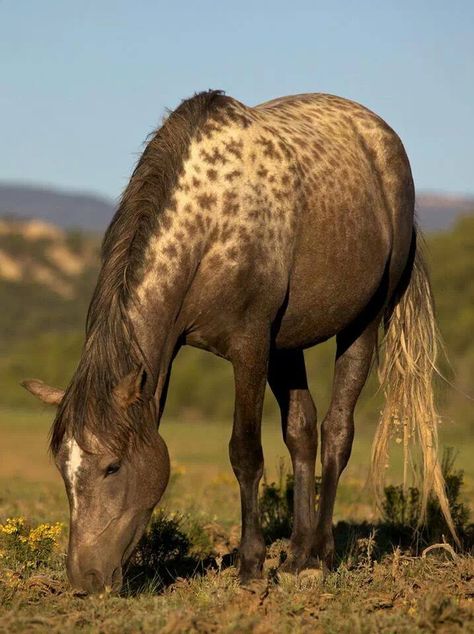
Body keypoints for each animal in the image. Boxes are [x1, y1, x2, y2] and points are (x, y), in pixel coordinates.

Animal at [20, 90, 454, 592]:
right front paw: (269, 562)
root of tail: (383, 139)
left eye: (112, 466)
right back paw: (296, 556)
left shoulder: (249, 348)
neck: (210, 225)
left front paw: (250, 567)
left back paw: (320, 556)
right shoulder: (234, 346)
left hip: (360, 325)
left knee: (337, 432)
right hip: (287, 344)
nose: (85, 579)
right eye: (62, 468)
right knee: (302, 431)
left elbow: (245, 453)